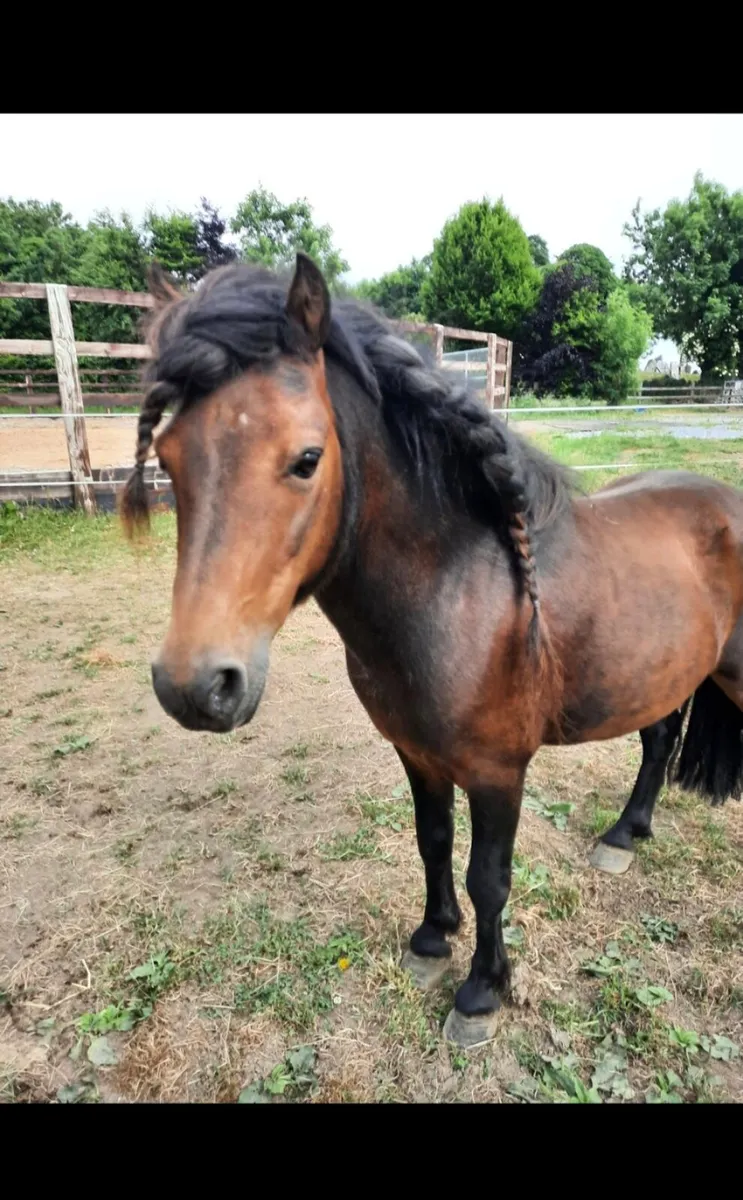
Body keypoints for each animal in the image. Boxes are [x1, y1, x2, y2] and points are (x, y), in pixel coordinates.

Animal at [121, 254, 743, 1049]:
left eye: (306, 459)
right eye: (168, 458)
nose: (195, 686)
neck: (461, 590)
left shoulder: (498, 772)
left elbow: (489, 877)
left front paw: (480, 991)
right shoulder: (417, 754)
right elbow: (433, 841)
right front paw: (430, 939)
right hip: (660, 673)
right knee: (659, 739)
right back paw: (624, 836)